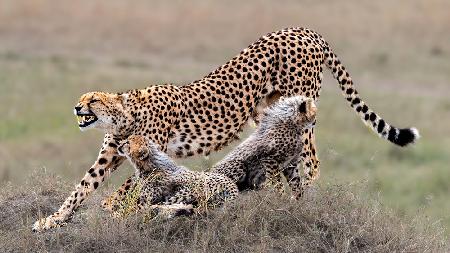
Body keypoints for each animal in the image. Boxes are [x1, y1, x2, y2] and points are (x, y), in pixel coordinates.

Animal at [31, 27, 418, 231]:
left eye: (93, 99)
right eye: (83, 97)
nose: (77, 107)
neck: (124, 113)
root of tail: (306, 31)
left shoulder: (151, 150)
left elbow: (132, 184)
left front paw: (112, 205)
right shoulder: (109, 156)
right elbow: (80, 189)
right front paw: (50, 222)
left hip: (300, 106)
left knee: (310, 161)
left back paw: (295, 201)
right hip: (267, 112)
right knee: (287, 161)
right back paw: (282, 196)